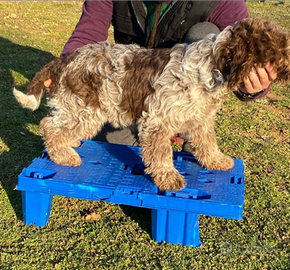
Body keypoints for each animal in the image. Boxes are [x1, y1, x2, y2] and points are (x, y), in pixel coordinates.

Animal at [13, 17, 290, 191]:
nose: (289, 65)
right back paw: (63, 155)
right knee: (49, 125)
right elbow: (162, 153)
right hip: (85, 110)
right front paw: (168, 178)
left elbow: (207, 142)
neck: (211, 67)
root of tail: (66, 59)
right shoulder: (157, 123)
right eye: (279, 48)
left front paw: (215, 160)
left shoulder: (200, 120)